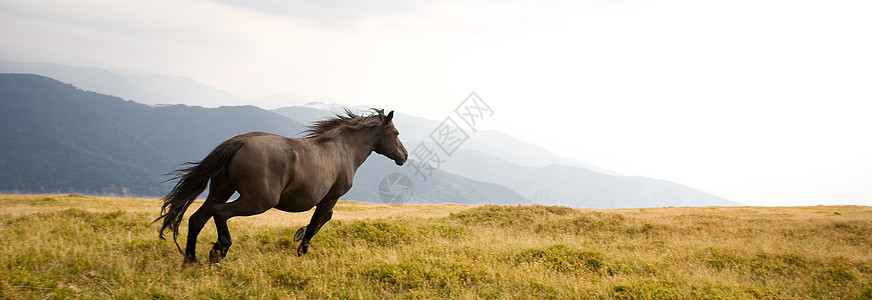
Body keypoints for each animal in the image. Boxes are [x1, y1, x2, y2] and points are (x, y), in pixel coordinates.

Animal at [154, 108, 408, 262]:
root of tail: (239, 142)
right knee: (220, 213)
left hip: (221, 190)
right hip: (258, 201)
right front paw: (301, 247)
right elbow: (319, 221)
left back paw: (191, 261)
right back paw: (219, 249)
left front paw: (299, 235)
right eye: (396, 133)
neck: (342, 149)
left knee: (197, 218)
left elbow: (322, 219)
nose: (404, 156)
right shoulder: (331, 197)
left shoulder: (328, 199)